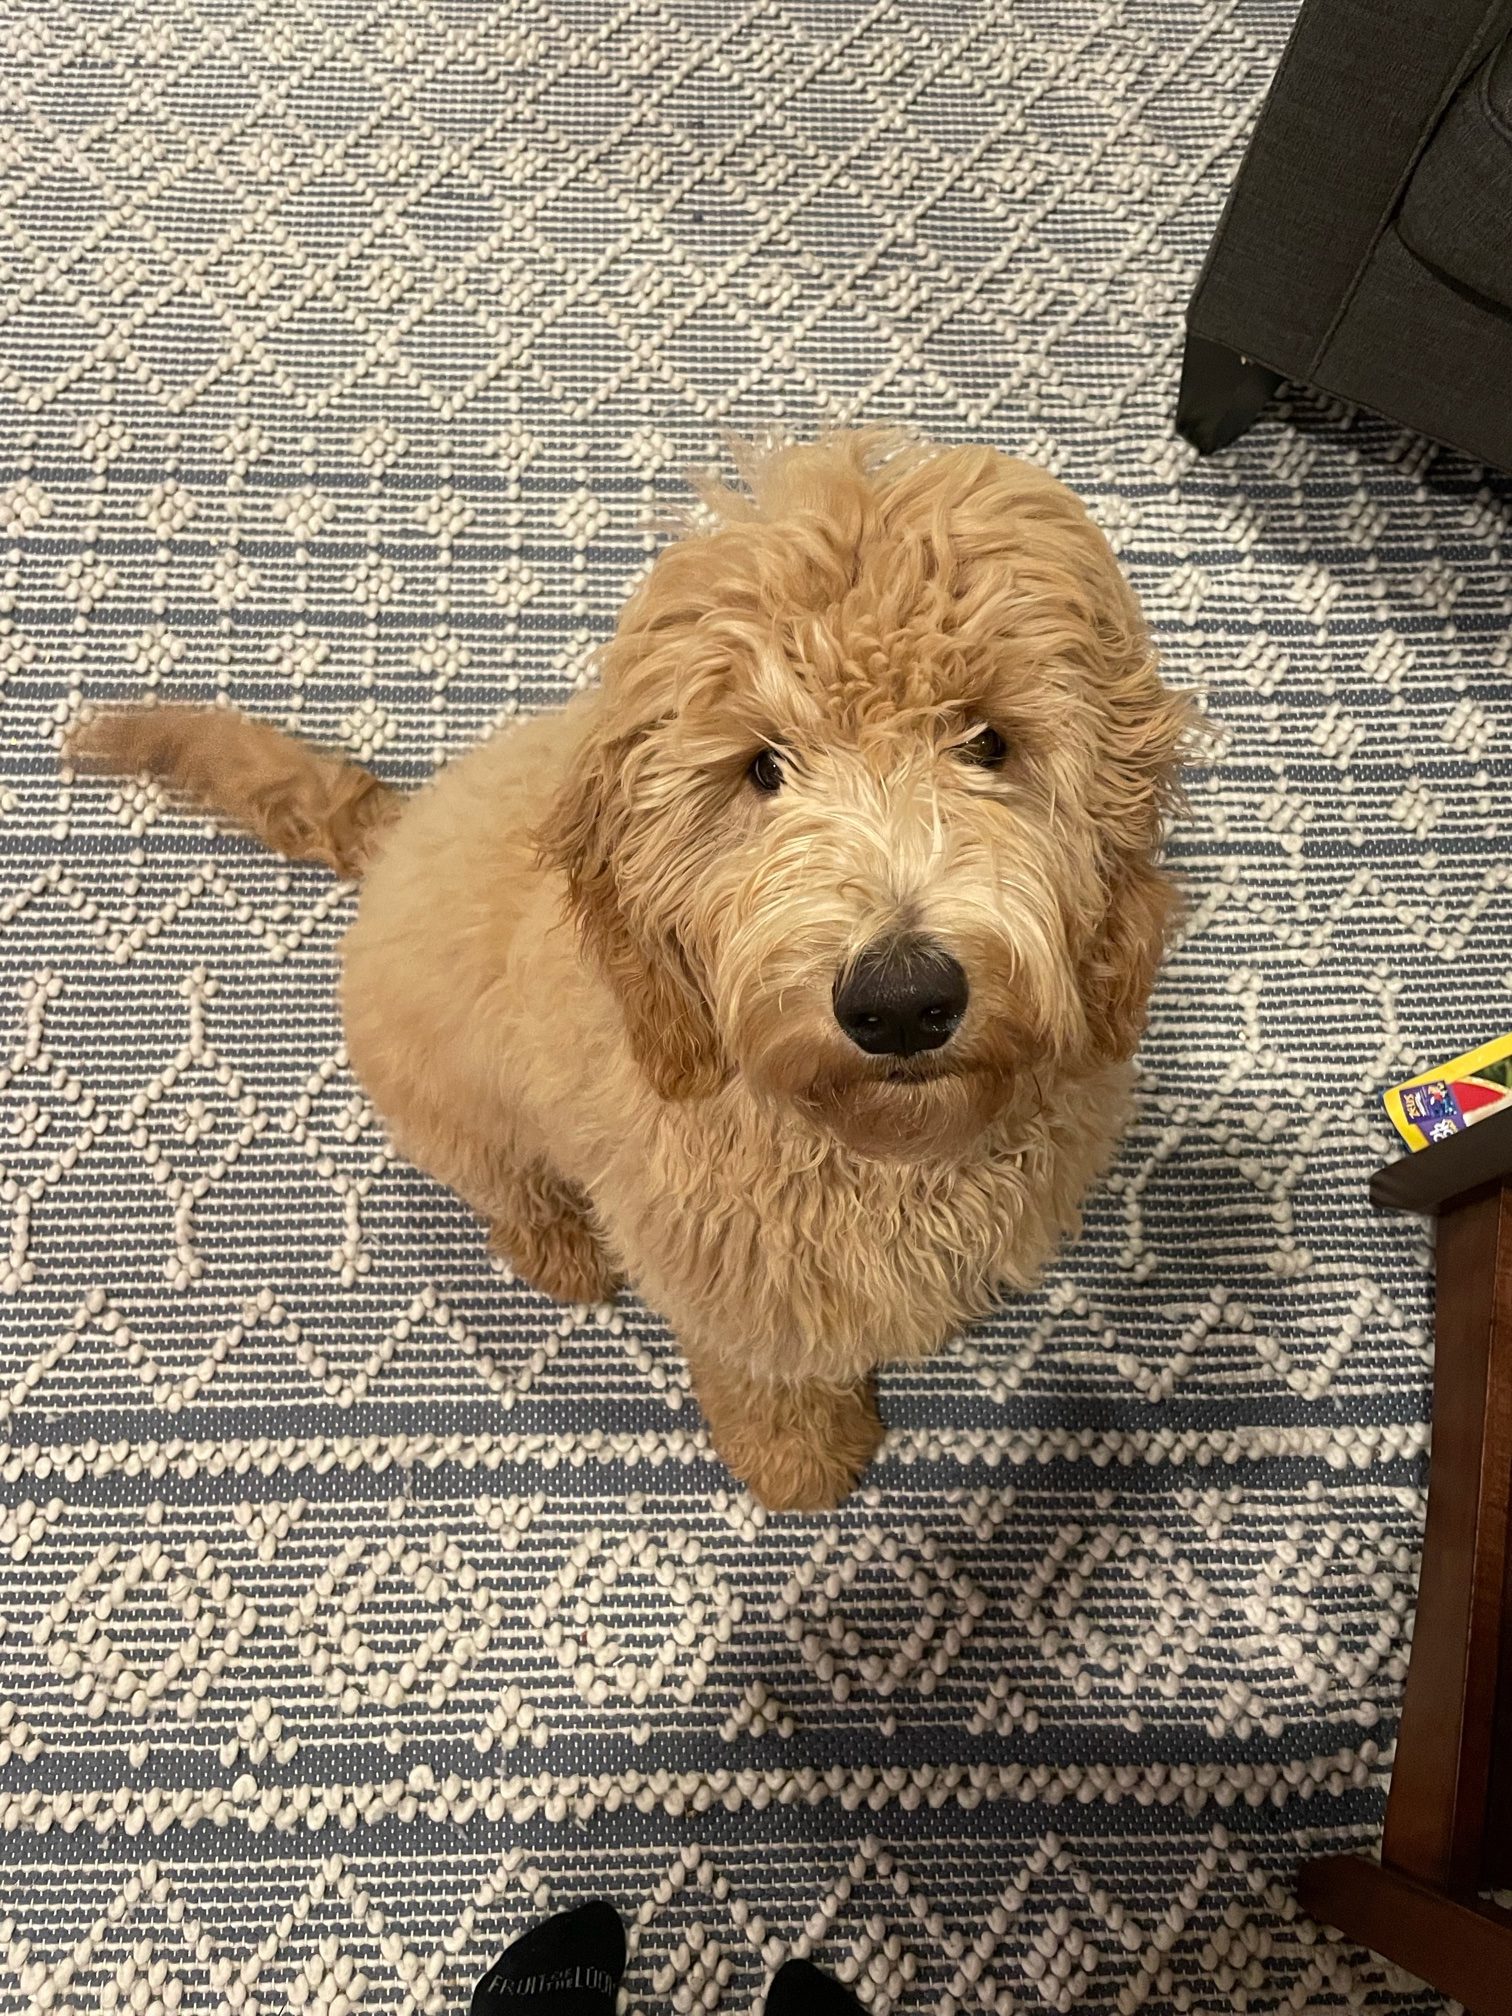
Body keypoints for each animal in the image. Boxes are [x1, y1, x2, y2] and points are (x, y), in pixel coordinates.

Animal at [68, 441, 1193, 1516]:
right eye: (762, 767)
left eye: (988, 741)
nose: (903, 1001)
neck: (865, 1145)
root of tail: (397, 829)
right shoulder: (726, 1279)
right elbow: (766, 1381)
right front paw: (802, 1468)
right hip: (455, 1105)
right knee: (503, 1185)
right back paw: (560, 1249)